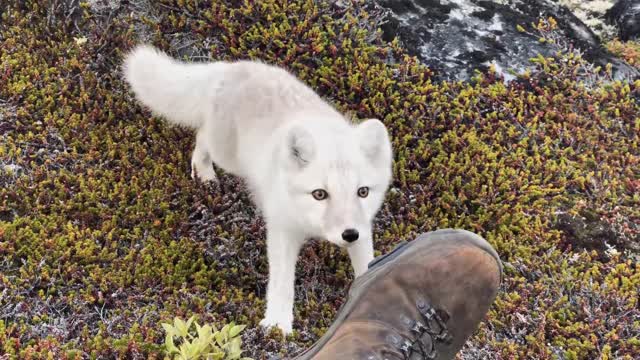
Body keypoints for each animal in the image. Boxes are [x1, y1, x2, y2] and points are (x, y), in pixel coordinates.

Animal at [122, 45, 392, 334]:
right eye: (320, 194)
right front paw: (278, 326)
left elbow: (366, 264)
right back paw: (204, 175)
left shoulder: (363, 227)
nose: (349, 234)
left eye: (363, 191)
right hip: (226, 156)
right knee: (201, 135)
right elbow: (282, 284)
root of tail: (232, 68)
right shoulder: (282, 230)